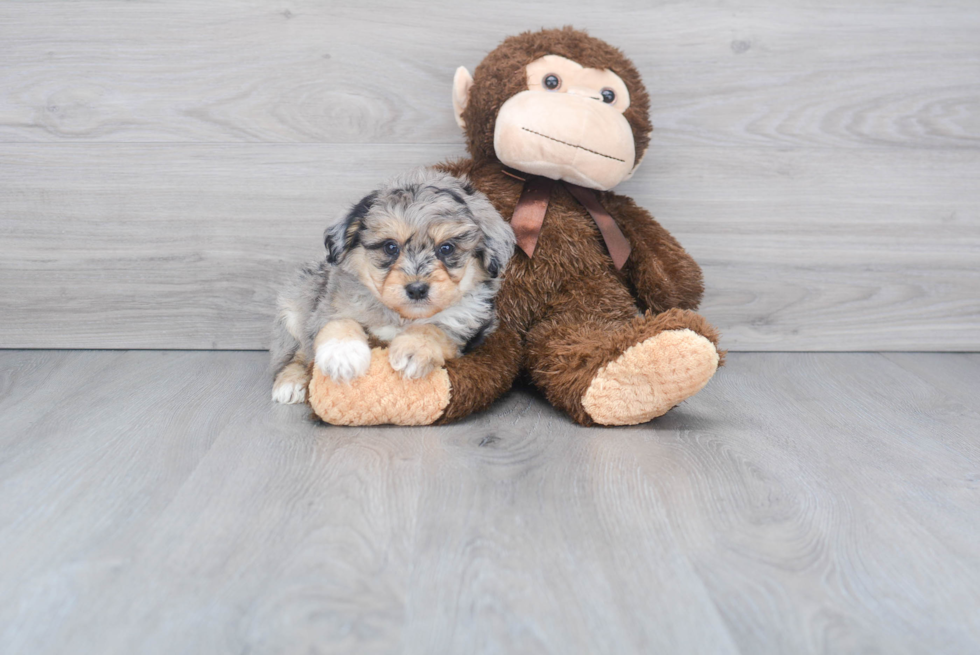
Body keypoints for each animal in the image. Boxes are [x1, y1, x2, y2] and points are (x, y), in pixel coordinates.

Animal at [268, 168, 512, 404]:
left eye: (447, 248)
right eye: (390, 247)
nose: (416, 289)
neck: (401, 317)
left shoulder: (469, 325)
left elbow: (435, 329)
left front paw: (413, 349)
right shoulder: (327, 307)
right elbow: (339, 322)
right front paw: (342, 355)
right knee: (296, 354)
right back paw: (290, 382)